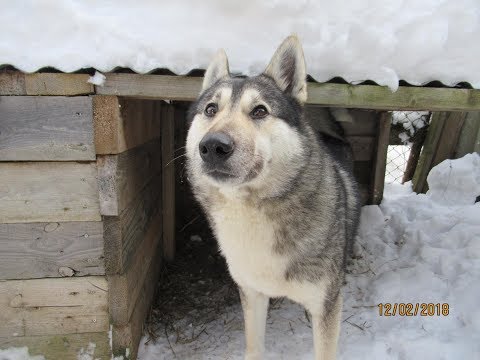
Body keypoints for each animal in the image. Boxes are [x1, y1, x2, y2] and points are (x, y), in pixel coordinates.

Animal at [186, 35, 362, 358]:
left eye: (260, 111)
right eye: (211, 110)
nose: (213, 146)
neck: (251, 211)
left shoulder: (326, 304)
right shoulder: (252, 293)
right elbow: (254, 346)